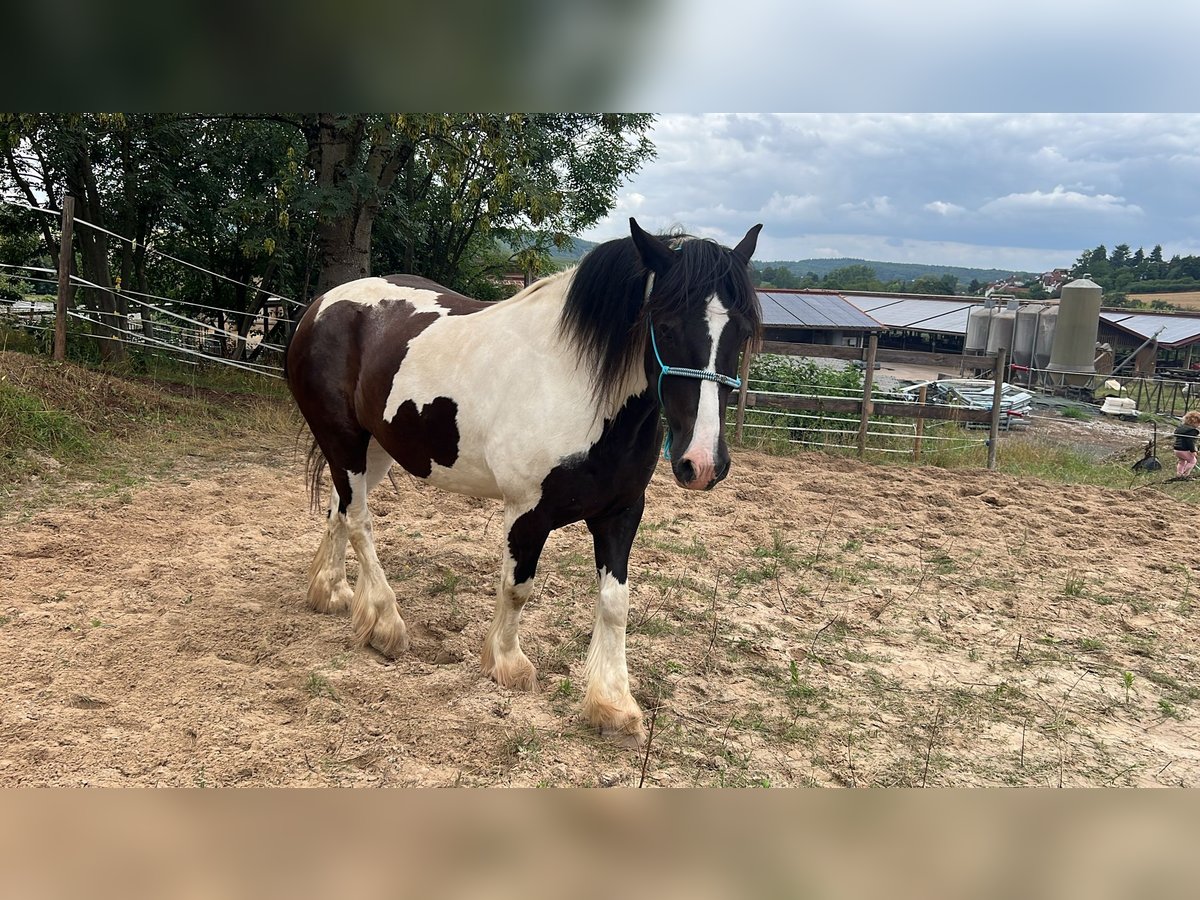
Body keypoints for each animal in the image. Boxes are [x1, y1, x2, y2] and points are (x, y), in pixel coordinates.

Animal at [286, 218, 763, 743]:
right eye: (668, 324)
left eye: (742, 331)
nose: (702, 463)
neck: (577, 388)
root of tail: (321, 306)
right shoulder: (527, 512)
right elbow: (518, 587)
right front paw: (507, 664)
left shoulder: (621, 513)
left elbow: (616, 602)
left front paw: (614, 704)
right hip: (344, 440)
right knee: (359, 522)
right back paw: (385, 623)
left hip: (372, 449)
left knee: (340, 511)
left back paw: (331, 593)